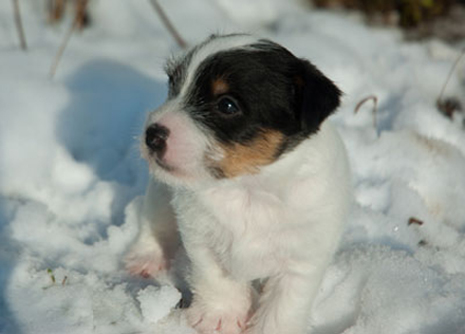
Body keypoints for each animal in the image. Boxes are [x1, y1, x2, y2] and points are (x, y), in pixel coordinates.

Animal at [125, 34, 350, 334]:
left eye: (227, 105)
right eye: (173, 85)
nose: (152, 135)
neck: (249, 187)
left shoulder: (302, 261)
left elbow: (284, 305)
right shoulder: (201, 238)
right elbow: (215, 277)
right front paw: (220, 317)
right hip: (162, 192)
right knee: (155, 221)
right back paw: (145, 258)